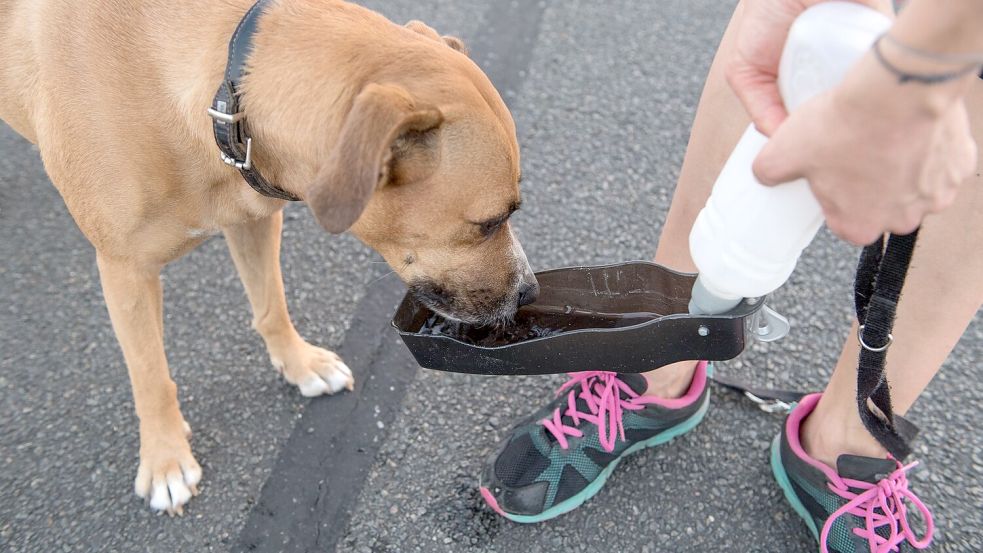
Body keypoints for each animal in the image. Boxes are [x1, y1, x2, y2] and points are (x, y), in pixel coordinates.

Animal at [0, 0, 540, 512]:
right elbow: (150, 375)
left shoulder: (251, 218)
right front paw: (164, 458)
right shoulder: (124, 270)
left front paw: (299, 364)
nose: (530, 293)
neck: (221, 94)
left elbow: (271, 305)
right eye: (488, 223)